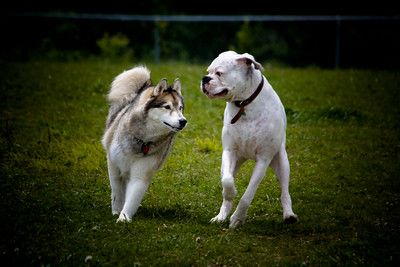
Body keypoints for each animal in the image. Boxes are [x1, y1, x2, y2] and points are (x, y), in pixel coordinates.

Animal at [101, 66, 186, 223]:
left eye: (181, 108)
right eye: (167, 107)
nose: (183, 121)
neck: (143, 140)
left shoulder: (141, 172)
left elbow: (133, 197)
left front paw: (124, 218)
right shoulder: (114, 165)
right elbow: (116, 192)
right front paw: (116, 211)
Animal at [202, 50, 298, 228]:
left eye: (219, 73)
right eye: (208, 72)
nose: (205, 79)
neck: (244, 104)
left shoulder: (263, 160)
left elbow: (248, 195)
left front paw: (237, 218)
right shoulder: (229, 152)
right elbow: (227, 181)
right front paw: (231, 194)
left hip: (281, 162)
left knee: (285, 191)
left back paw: (289, 214)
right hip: (236, 160)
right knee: (226, 181)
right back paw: (221, 215)